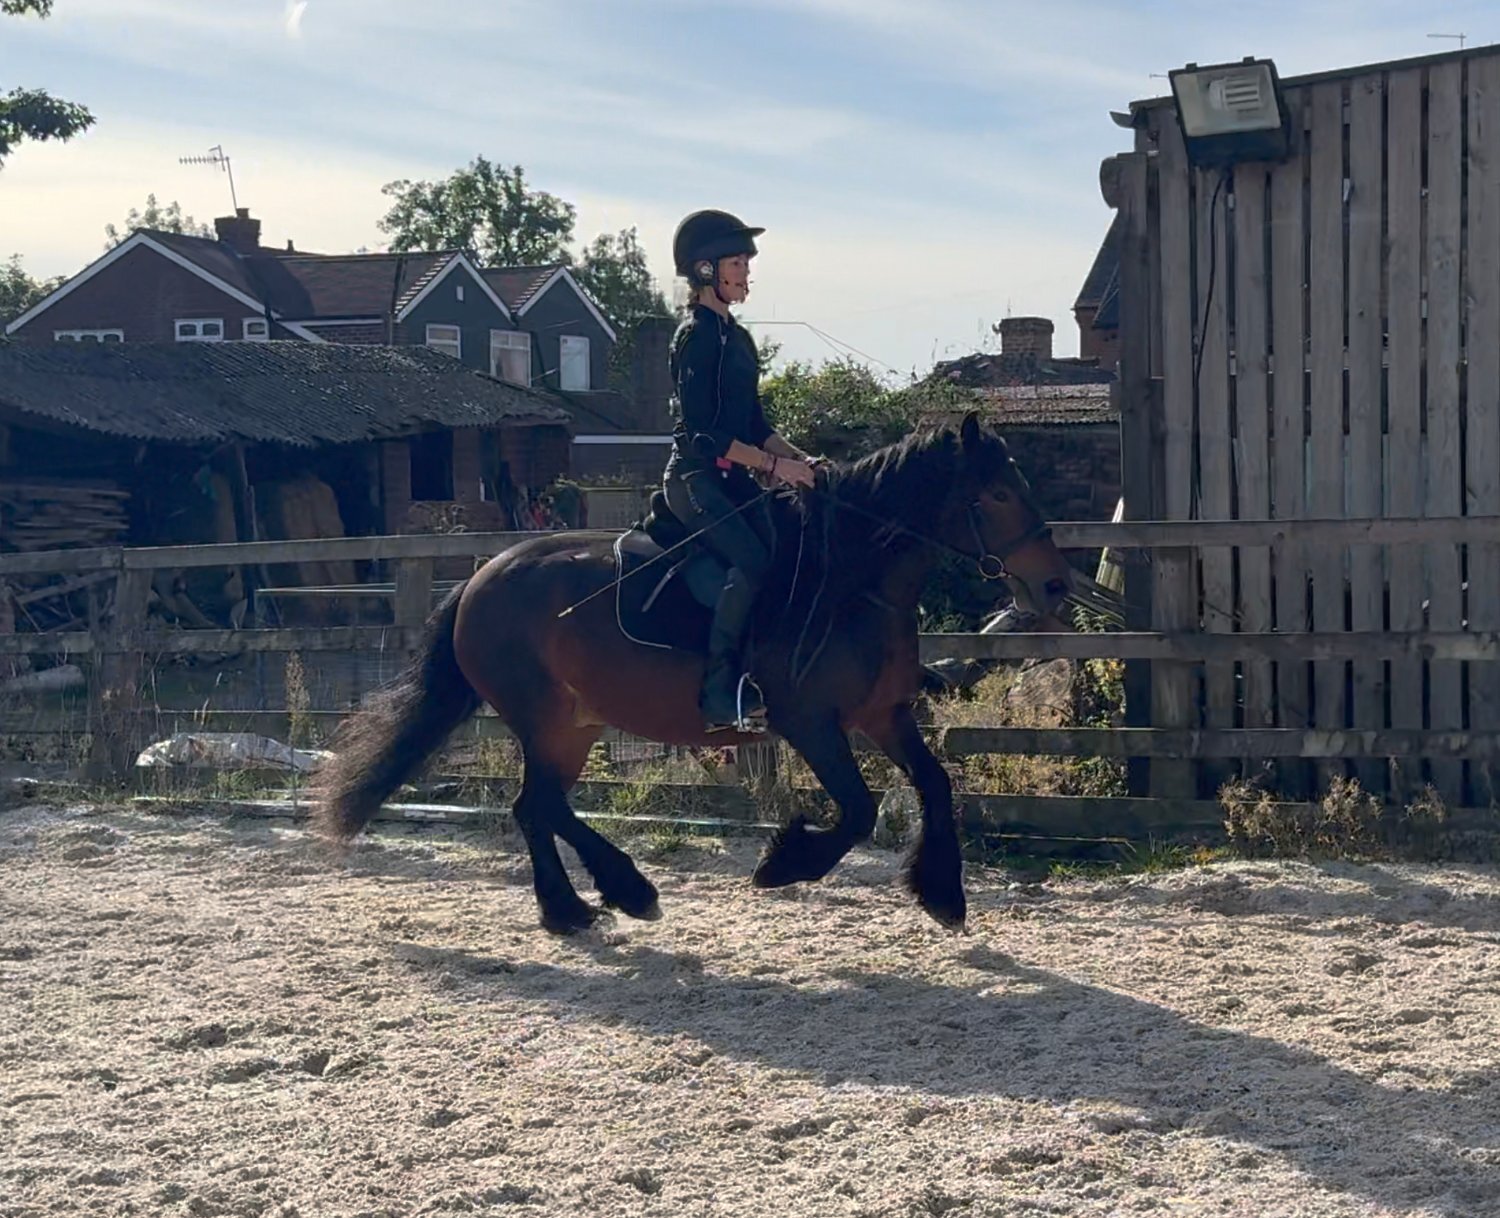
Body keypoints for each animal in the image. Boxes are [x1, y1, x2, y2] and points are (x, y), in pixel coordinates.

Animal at [312, 412, 1075, 934]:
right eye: (998, 494)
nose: (1055, 586)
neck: (850, 578)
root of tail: (478, 579)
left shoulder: (884, 715)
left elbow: (937, 784)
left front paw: (942, 892)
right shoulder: (809, 722)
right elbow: (858, 811)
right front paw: (784, 864)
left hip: (573, 724)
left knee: (535, 807)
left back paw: (575, 908)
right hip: (543, 718)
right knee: (544, 806)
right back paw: (622, 892)